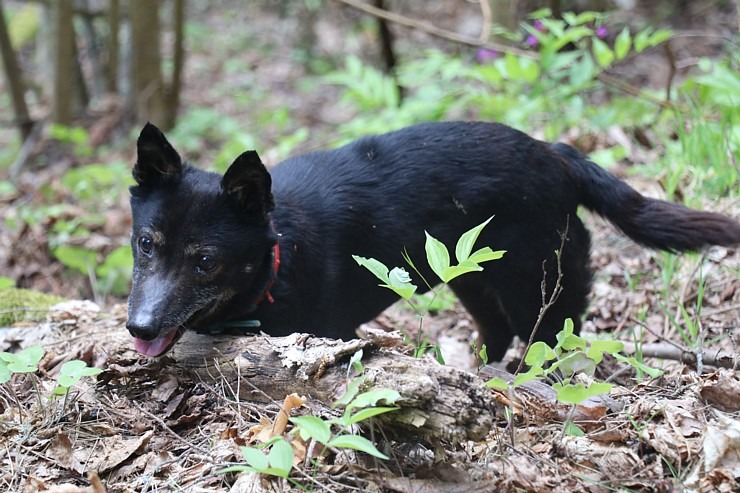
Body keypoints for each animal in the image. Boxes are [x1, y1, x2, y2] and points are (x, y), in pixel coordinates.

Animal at [129, 120, 740, 358]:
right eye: (145, 244)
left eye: (205, 261)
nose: (139, 327)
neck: (279, 258)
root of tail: (558, 154)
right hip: (472, 278)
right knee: (497, 331)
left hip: (539, 284)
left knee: (548, 338)